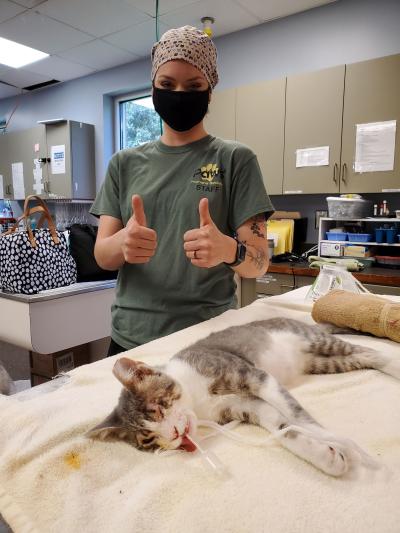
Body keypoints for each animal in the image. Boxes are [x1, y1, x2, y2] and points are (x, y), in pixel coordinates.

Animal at [88, 318, 400, 476]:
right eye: (148, 440)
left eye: (158, 407)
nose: (175, 434)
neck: (198, 400)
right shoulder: (247, 406)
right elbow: (282, 425)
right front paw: (325, 455)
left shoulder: (250, 375)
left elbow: (295, 413)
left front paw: (339, 442)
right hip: (324, 363)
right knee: (365, 357)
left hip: (315, 341)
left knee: (371, 351)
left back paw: (395, 367)